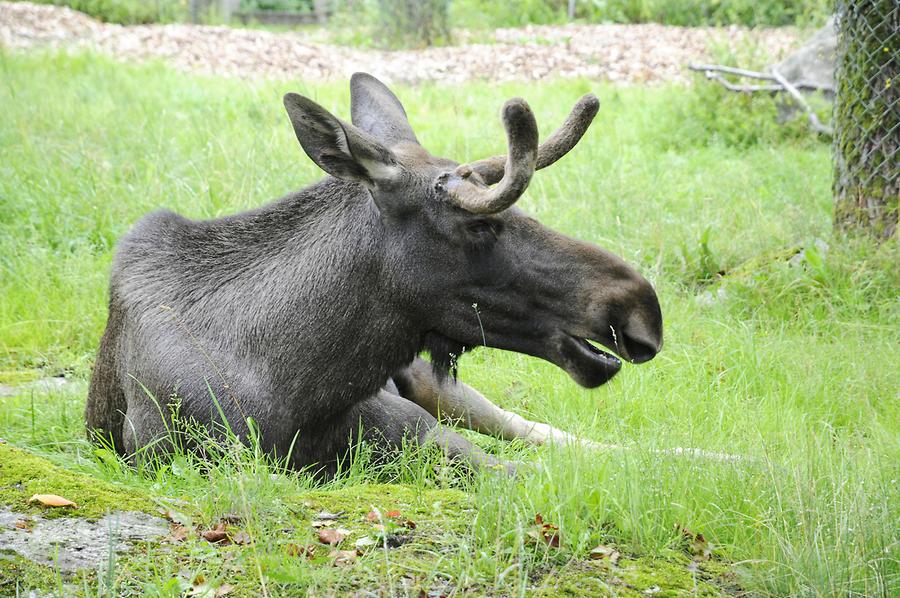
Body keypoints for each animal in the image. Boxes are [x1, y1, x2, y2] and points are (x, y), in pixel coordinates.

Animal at [86, 72, 660, 476]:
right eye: (478, 225)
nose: (640, 307)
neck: (296, 395)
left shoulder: (420, 430)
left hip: (437, 387)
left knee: (548, 433)